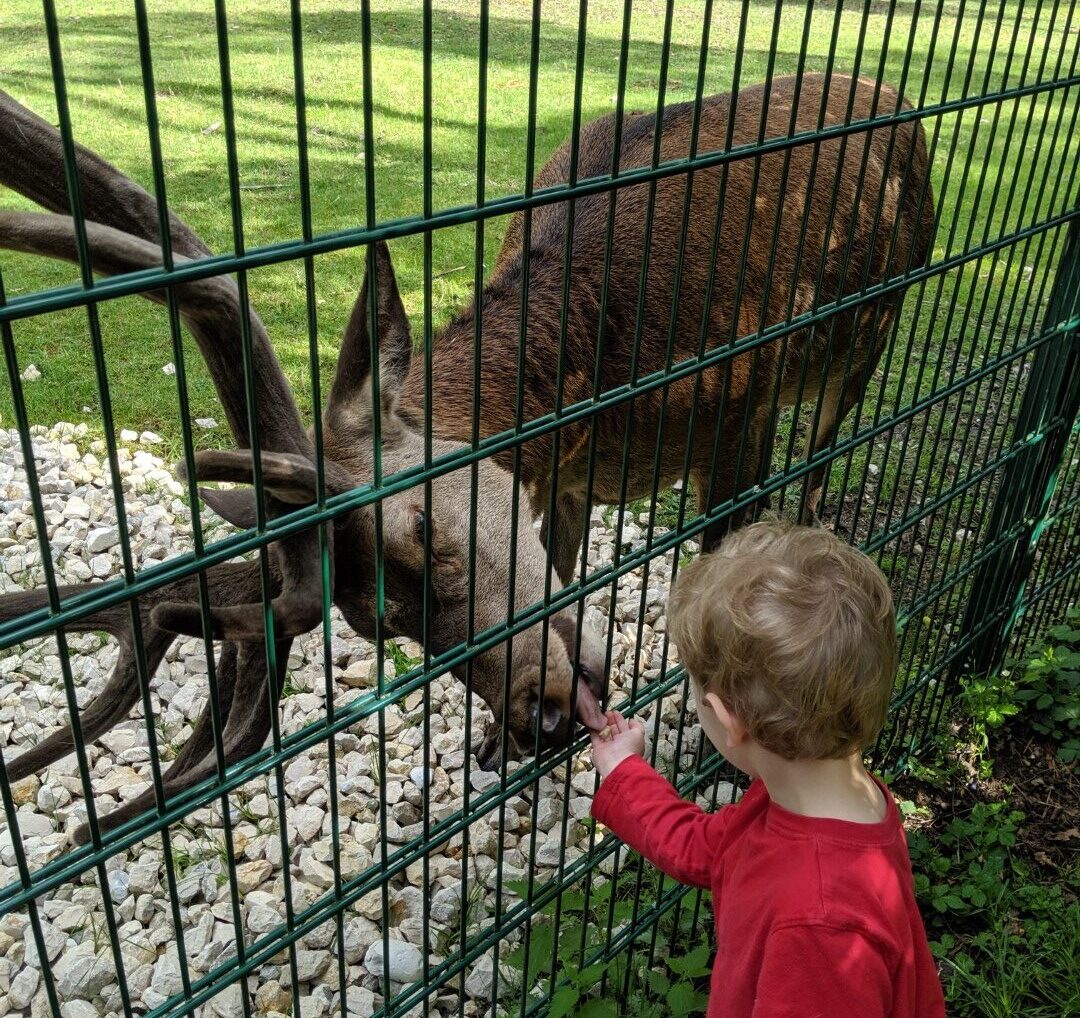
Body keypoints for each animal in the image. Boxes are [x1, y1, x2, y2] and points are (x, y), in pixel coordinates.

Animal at [0, 71, 928, 846]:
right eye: (378, 619)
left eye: (419, 526)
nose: (540, 713)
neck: (607, 375)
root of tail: (899, 100)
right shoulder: (558, 475)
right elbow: (565, 565)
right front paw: (490, 743)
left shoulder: (740, 416)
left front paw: (729, 759)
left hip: (877, 331)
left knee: (820, 459)